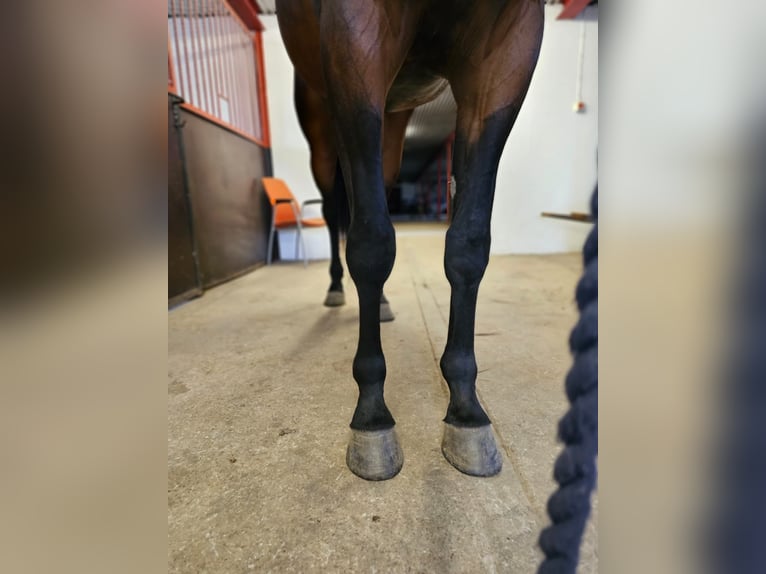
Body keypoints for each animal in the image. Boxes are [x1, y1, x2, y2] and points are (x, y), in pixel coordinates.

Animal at [276, 1, 544, 482]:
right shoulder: (355, 42)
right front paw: (372, 414)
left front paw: (466, 411)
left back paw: (380, 302)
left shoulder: (506, 56)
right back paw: (335, 288)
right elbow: (370, 244)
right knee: (335, 209)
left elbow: (468, 245)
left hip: (391, 116)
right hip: (325, 118)